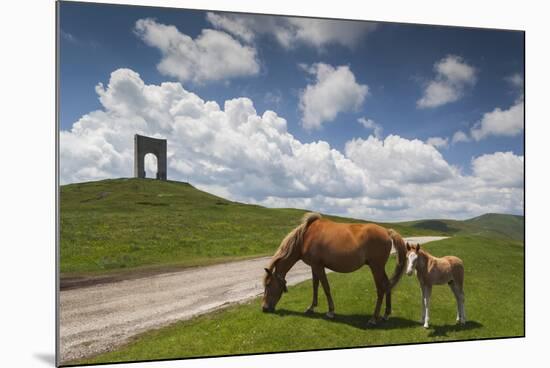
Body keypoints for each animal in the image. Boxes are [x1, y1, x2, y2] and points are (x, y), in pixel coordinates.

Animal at [264, 213, 410, 324]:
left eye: (268, 284)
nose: (264, 308)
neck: (305, 236)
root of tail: (387, 231)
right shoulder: (314, 267)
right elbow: (315, 286)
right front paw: (311, 307)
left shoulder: (318, 266)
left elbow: (326, 287)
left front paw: (331, 311)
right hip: (379, 268)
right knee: (387, 284)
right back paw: (386, 314)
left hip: (376, 267)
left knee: (381, 288)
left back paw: (374, 318)